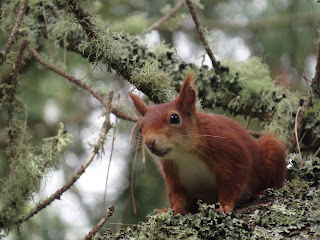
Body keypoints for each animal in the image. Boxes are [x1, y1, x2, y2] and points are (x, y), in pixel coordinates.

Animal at [129, 72, 286, 214]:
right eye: (141, 128)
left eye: (174, 118)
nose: (149, 142)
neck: (185, 155)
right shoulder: (173, 174)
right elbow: (177, 196)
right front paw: (171, 210)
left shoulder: (230, 152)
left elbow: (232, 182)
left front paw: (225, 205)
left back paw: (259, 192)